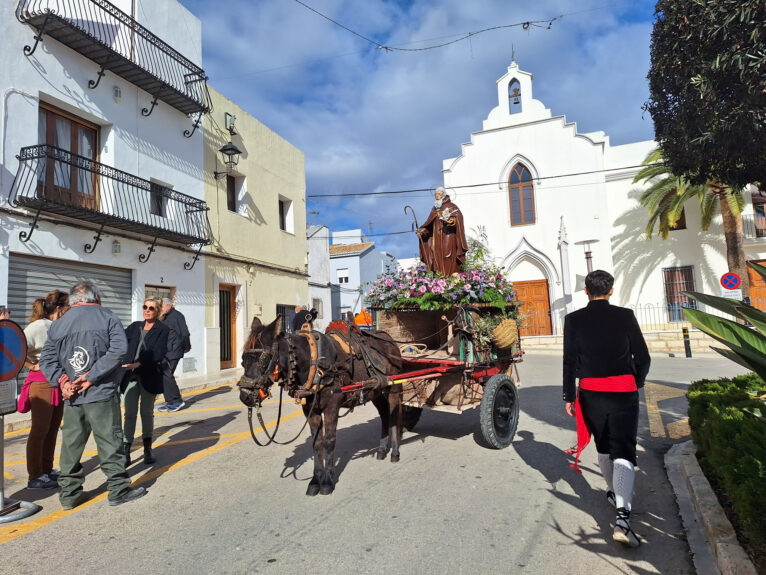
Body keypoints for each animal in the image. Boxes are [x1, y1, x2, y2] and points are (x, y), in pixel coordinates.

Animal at [237, 316, 404, 496]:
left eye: (262, 360)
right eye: (242, 360)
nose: (245, 396)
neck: (314, 363)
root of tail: (388, 338)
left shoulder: (332, 407)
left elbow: (330, 441)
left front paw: (328, 481)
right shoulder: (311, 411)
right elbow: (316, 443)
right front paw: (315, 480)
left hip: (393, 388)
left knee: (393, 415)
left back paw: (395, 452)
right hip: (375, 392)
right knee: (384, 414)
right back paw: (382, 449)